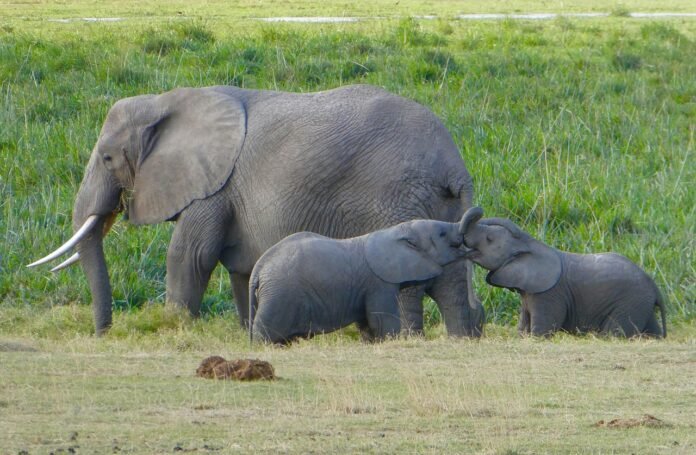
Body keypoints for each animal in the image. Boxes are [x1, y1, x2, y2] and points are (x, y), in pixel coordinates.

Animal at [250, 217, 468, 344]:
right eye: (442, 234)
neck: (394, 232)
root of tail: (258, 268)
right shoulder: (379, 283)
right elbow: (382, 320)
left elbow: (367, 323)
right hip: (279, 295)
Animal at [459, 207, 666, 338]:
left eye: (489, 239)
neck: (531, 244)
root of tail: (656, 289)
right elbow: (523, 327)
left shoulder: (549, 294)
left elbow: (542, 331)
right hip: (641, 304)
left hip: (629, 302)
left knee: (613, 334)